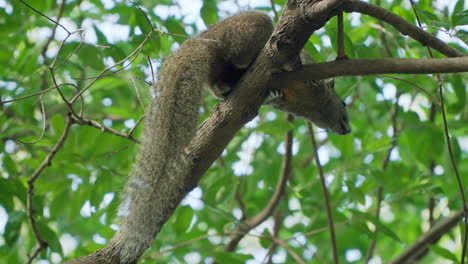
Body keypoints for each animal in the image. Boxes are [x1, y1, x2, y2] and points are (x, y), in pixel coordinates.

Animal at [103, 10, 352, 264]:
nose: (347, 129)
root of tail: (201, 41)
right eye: (343, 104)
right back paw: (252, 62)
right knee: (241, 55)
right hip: (248, 30)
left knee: (219, 83)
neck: (304, 104)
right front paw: (307, 77)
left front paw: (273, 94)